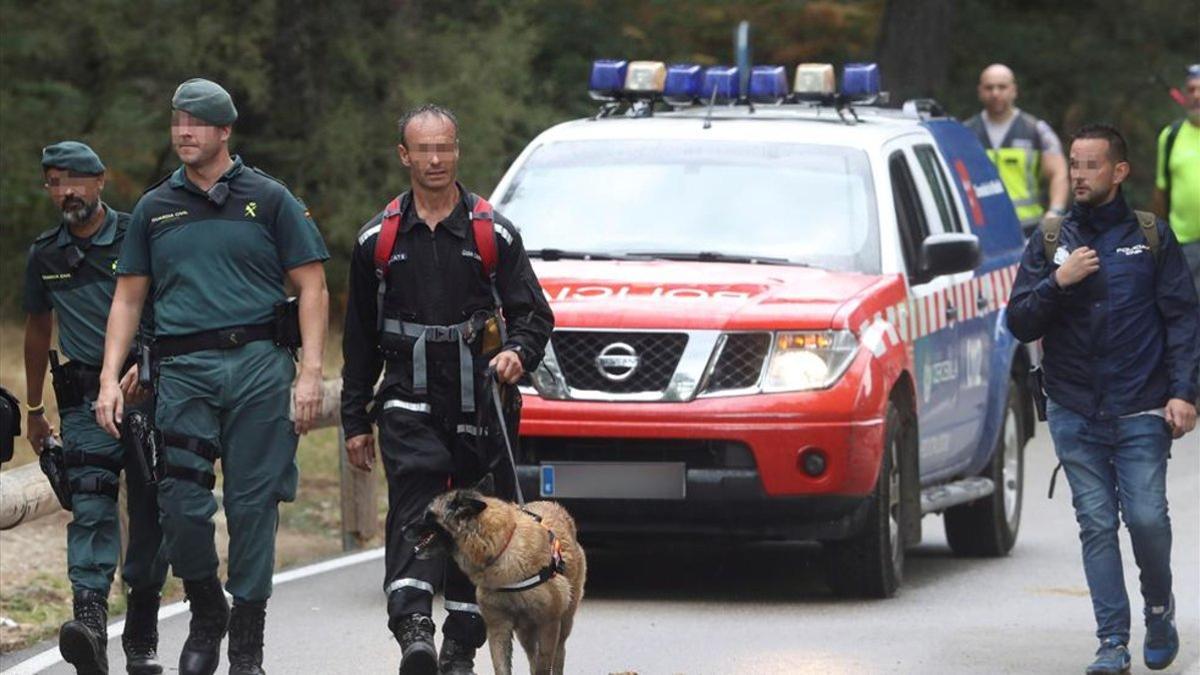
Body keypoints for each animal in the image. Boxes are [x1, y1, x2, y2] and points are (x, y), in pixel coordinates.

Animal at [408, 487, 585, 672]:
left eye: (428, 515)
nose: (403, 528)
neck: (501, 548)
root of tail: (553, 505)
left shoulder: (548, 625)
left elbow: (543, 667)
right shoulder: (498, 628)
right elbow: (503, 667)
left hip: (563, 625)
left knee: (558, 654)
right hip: (526, 633)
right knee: (532, 657)